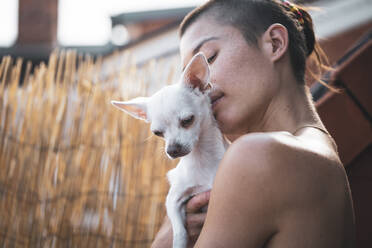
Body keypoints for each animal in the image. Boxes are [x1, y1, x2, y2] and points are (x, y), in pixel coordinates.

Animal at [110, 53, 227, 247]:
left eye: (187, 120)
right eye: (157, 133)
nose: (172, 150)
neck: (202, 159)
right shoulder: (173, 200)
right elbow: (179, 231)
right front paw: (180, 241)